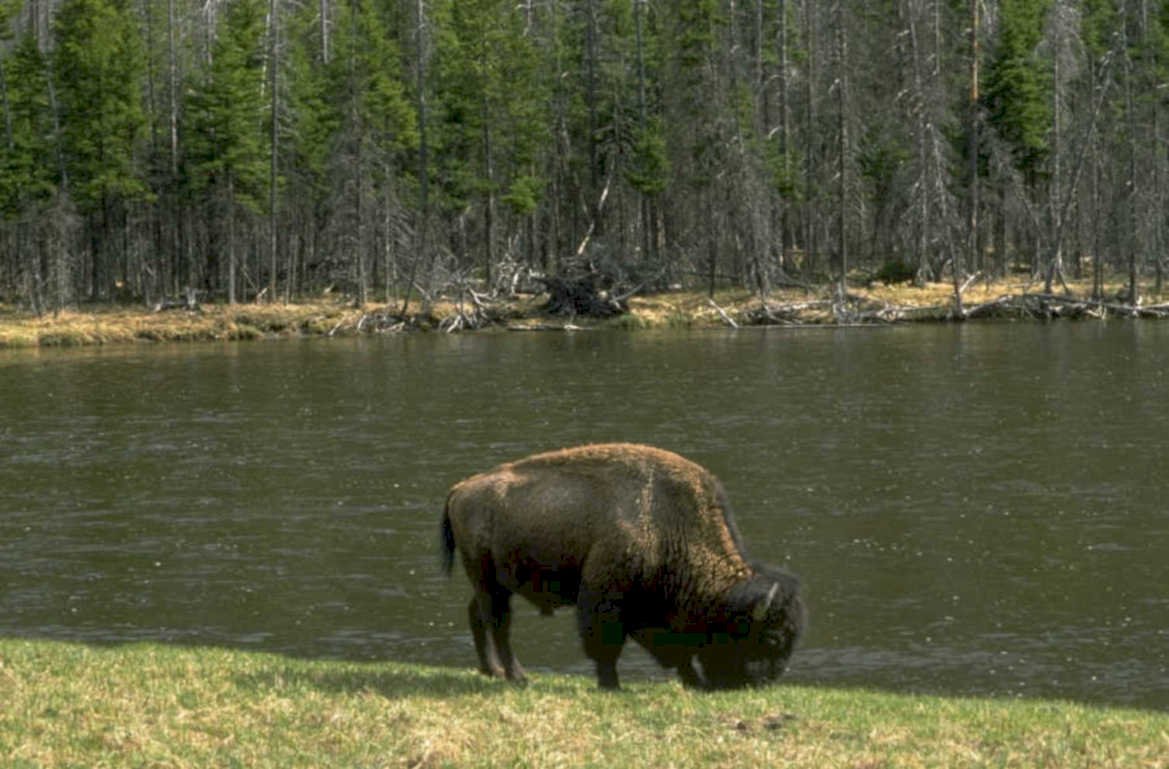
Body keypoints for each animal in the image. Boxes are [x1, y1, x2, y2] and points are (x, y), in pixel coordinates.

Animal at [439, 443, 806, 690]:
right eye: (773, 639)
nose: (761, 682)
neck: (670, 522)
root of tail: (461, 488)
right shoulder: (605, 597)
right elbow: (605, 645)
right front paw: (611, 685)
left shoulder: (649, 610)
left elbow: (674, 651)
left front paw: (693, 681)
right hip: (486, 578)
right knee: (498, 623)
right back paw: (516, 676)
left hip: (494, 583)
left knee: (478, 615)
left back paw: (492, 671)